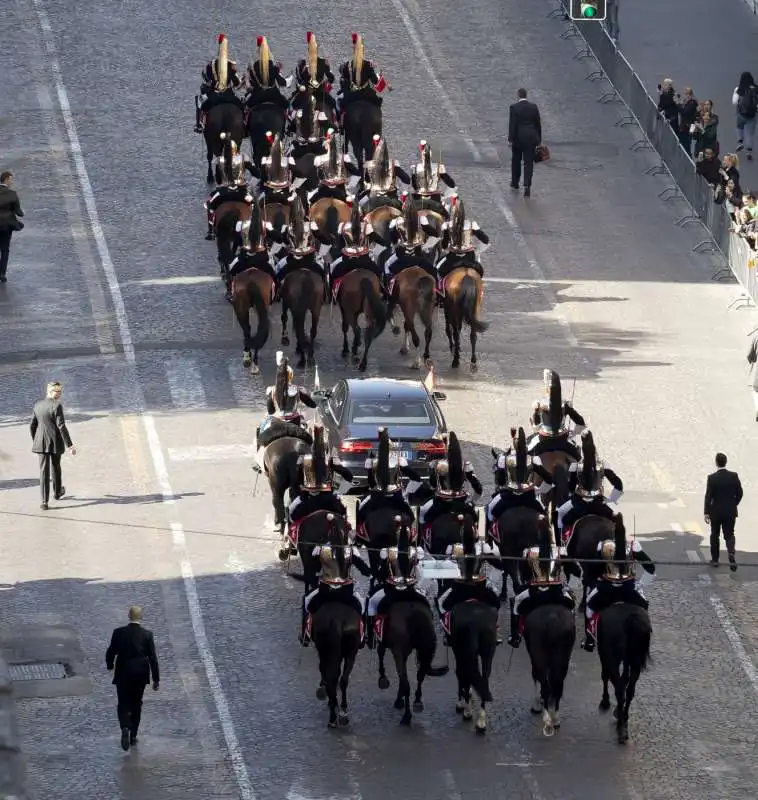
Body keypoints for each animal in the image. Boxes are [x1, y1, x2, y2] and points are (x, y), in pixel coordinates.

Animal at [376, 516, 448, 728]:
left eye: (382, 565)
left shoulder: (389, 645)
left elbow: (381, 655)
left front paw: (384, 680)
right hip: (425, 648)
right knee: (420, 675)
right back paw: (415, 703)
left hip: (400, 651)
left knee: (408, 681)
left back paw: (406, 714)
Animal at [600, 608, 652, 744]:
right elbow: (624, 682)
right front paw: (619, 712)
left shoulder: (605, 655)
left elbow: (606, 676)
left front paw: (605, 701)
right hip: (635, 662)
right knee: (629, 691)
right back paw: (624, 720)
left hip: (613, 659)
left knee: (619, 690)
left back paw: (620, 725)